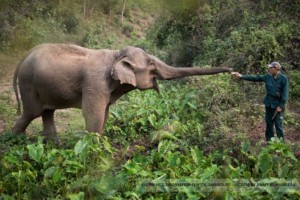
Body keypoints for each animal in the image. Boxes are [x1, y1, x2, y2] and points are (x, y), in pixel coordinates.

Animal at [11, 43, 232, 142]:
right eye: (152, 65)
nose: (233, 71)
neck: (116, 54)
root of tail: (23, 57)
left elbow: (105, 113)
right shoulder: (95, 83)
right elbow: (93, 114)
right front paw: (92, 148)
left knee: (47, 113)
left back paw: (52, 145)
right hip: (29, 83)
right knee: (32, 113)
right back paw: (13, 141)